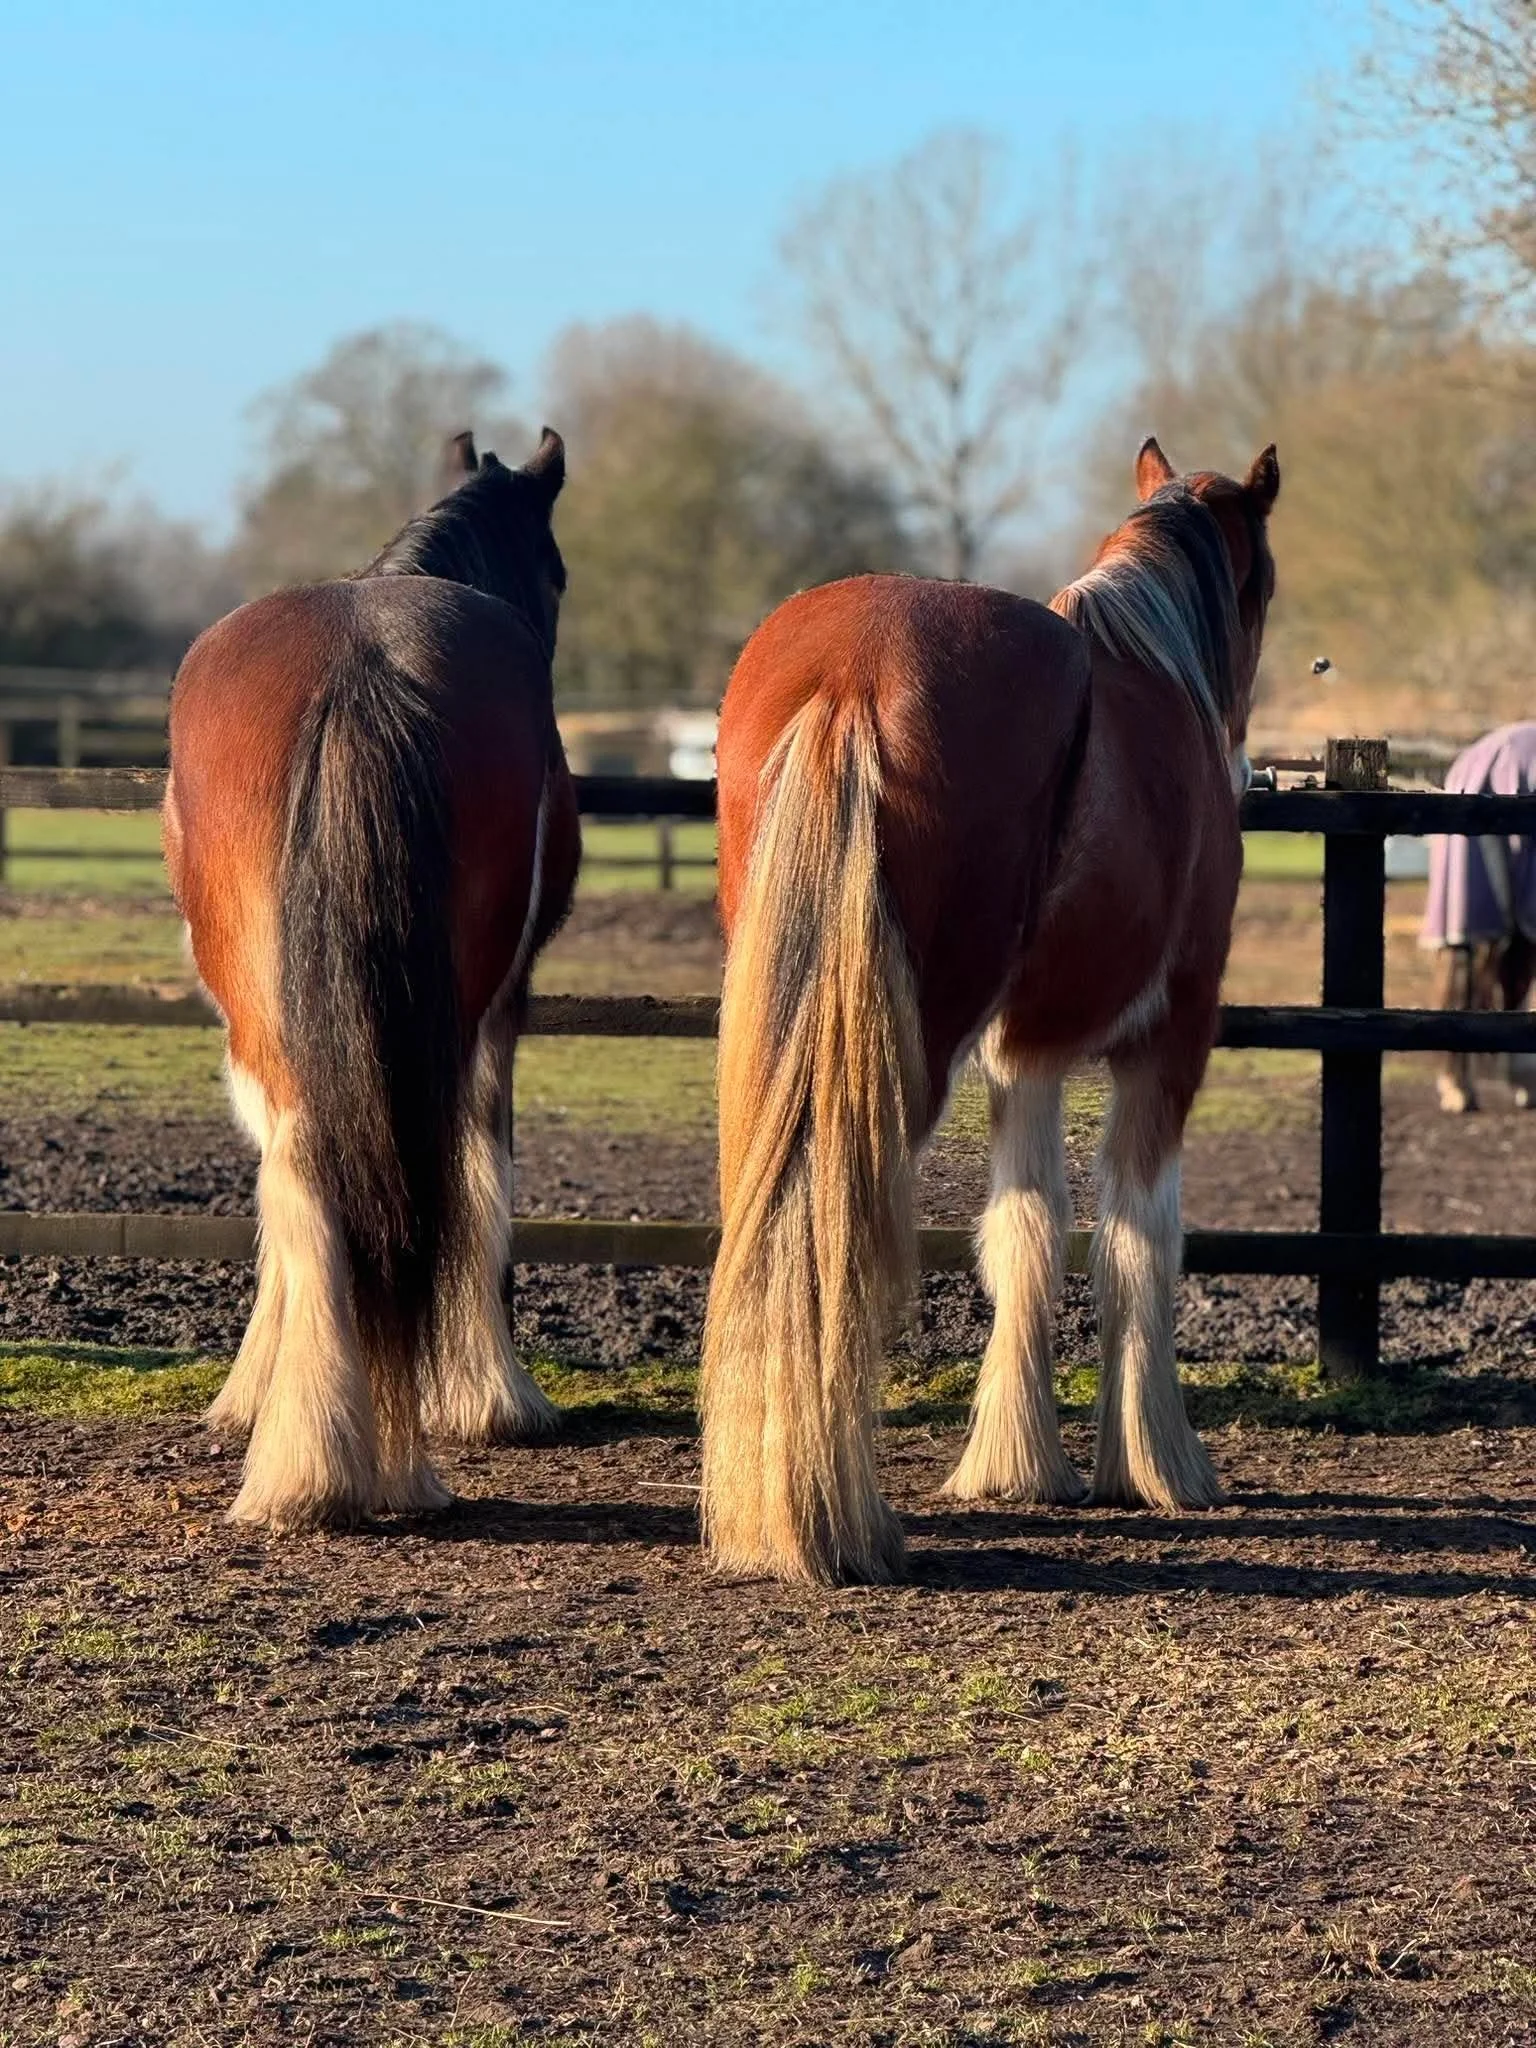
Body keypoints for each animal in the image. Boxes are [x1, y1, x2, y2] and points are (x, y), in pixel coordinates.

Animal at [162, 429, 581, 1531]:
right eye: (558, 569)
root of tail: (361, 669)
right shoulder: (502, 1011)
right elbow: (486, 1166)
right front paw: (493, 1396)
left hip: (264, 1007)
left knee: (304, 1160)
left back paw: (314, 1460)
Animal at [701, 437, 1280, 1584]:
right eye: (1267, 584)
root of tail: (852, 672)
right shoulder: (1172, 1038)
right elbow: (1139, 1234)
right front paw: (1158, 1463)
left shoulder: (1027, 1055)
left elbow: (1024, 1229)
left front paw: (1016, 1463)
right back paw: (833, 1518)